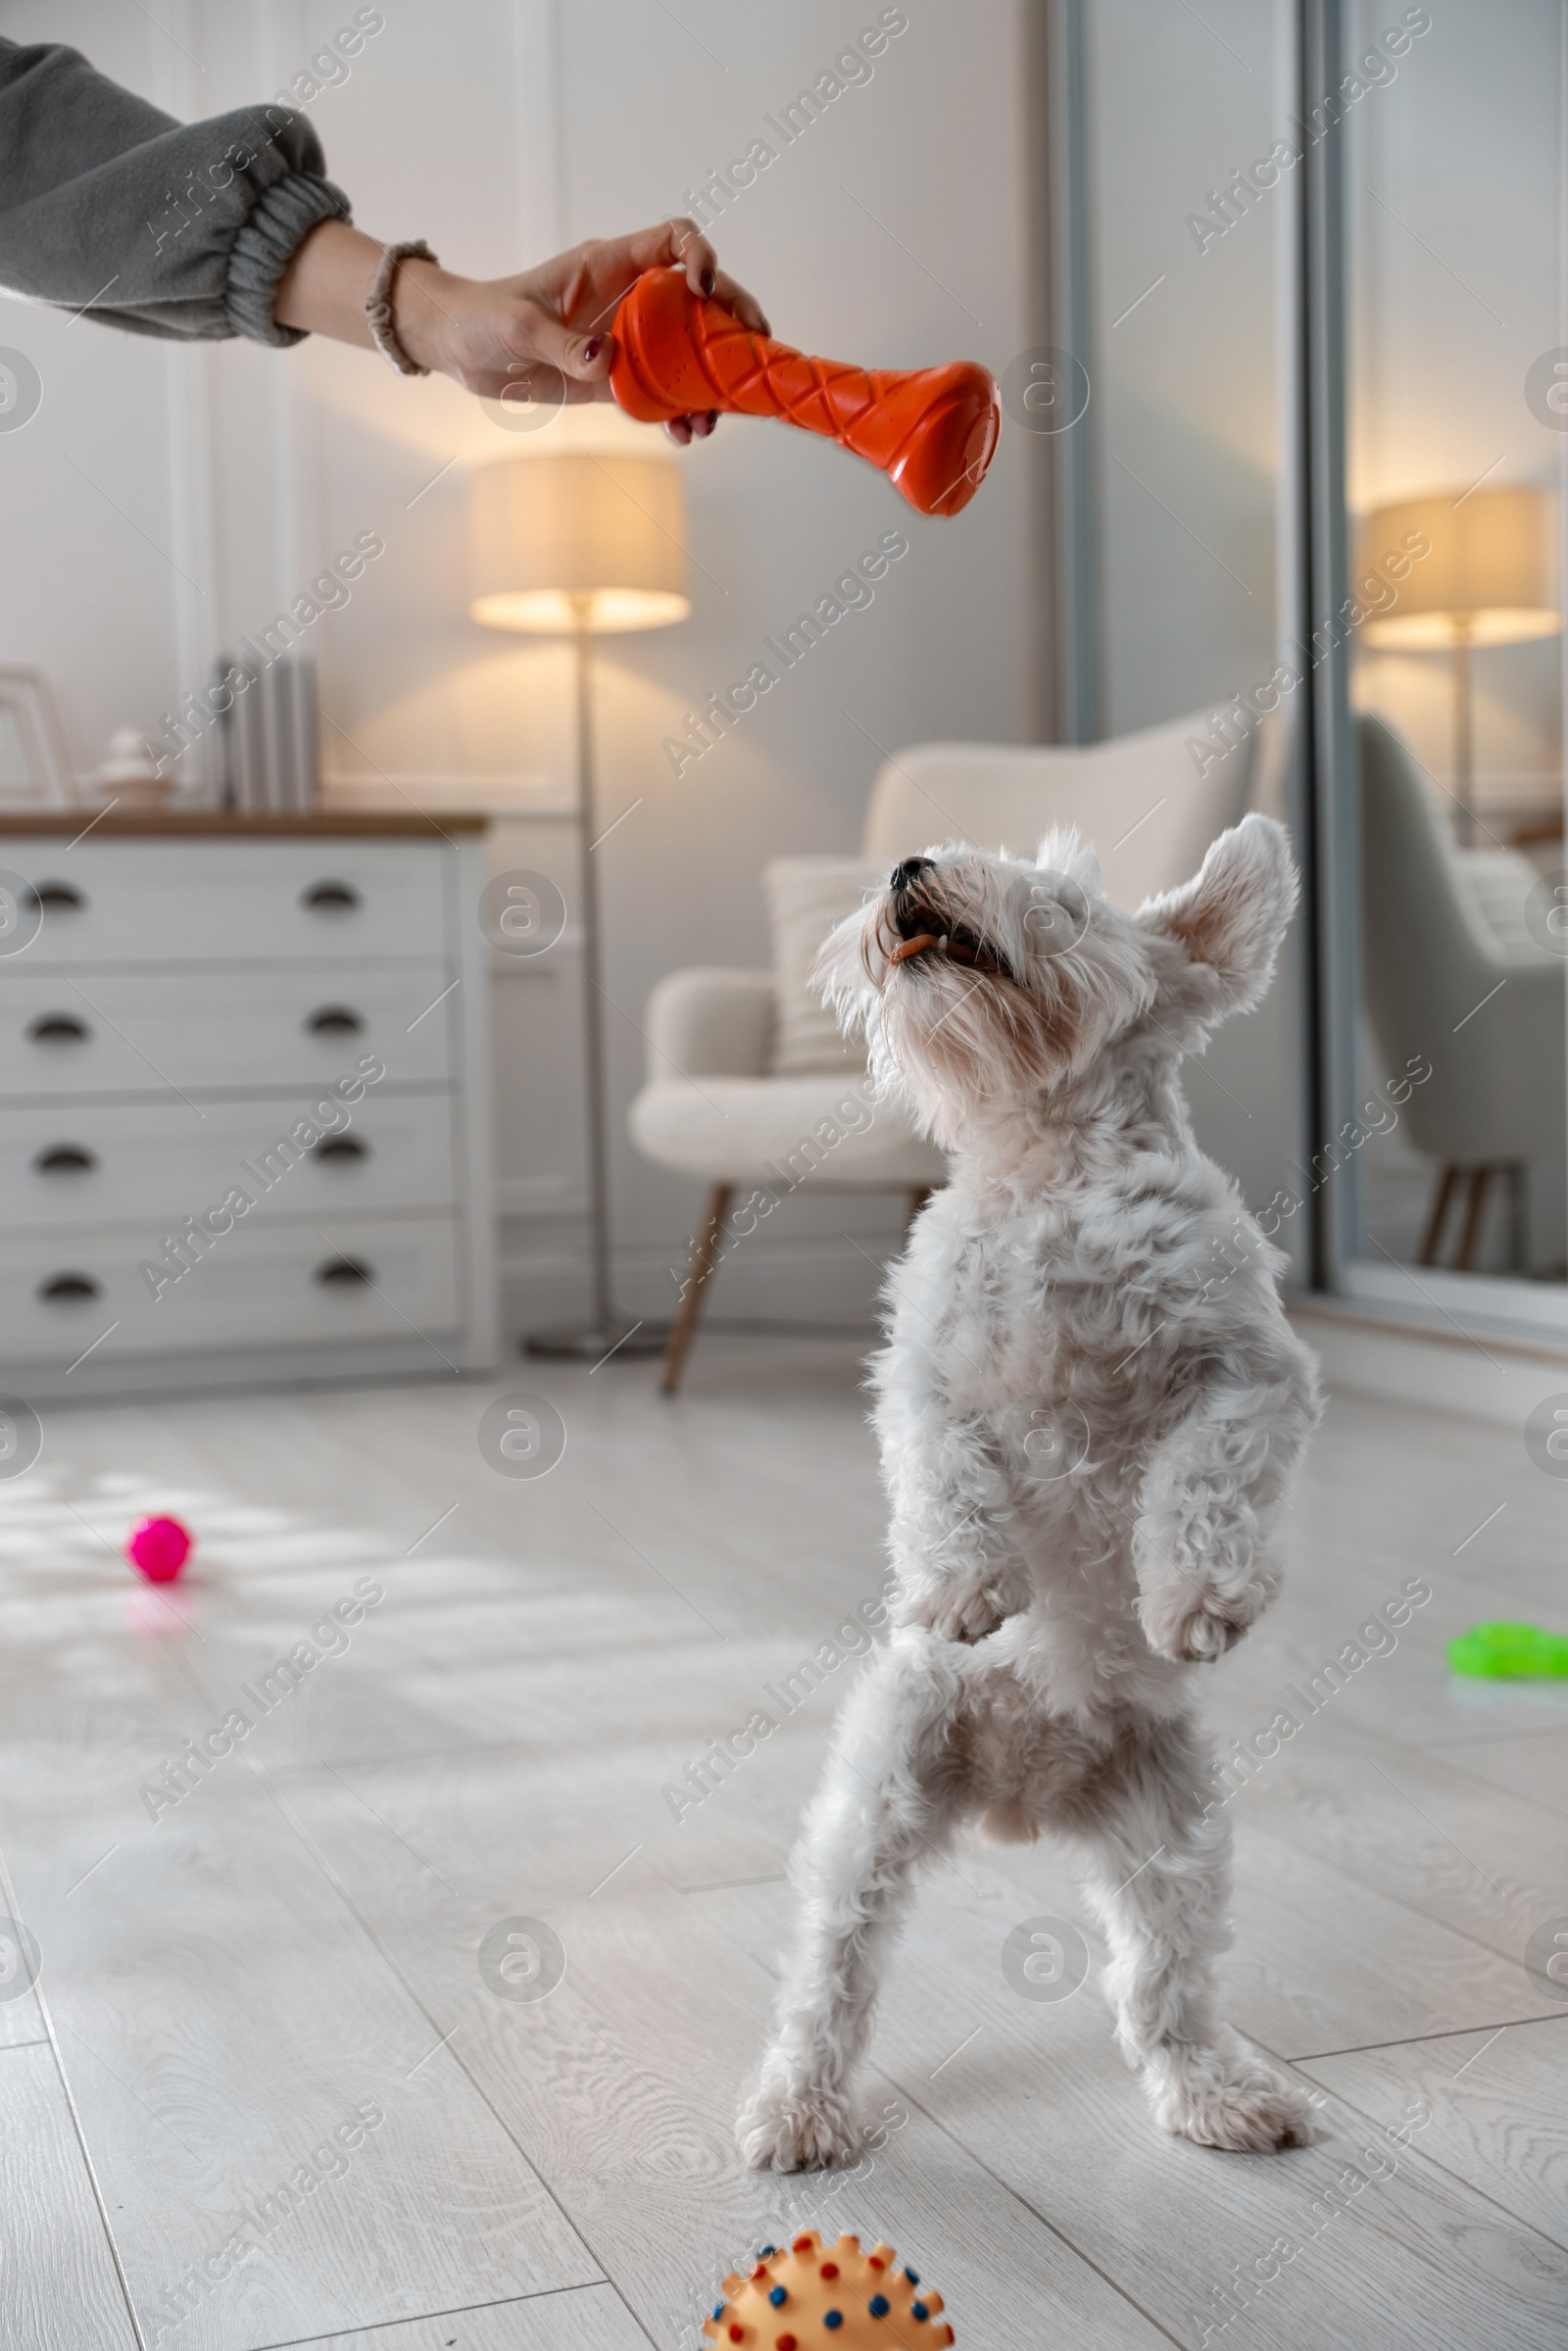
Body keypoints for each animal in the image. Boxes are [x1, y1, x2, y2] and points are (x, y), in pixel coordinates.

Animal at [738, 817, 1325, 2172]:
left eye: (1057, 897)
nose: (907, 866)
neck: (1048, 1164)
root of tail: (1028, 1788)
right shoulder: (921, 1369)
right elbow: (942, 1472)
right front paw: (962, 1587)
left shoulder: (1249, 1368)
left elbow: (1201, 1476)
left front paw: (1194, 1598)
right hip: (877, 1806)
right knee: (828, 1979)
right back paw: (798, 2107)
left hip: (1172, 1830)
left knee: (1163, 1990)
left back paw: (1221, 2093)